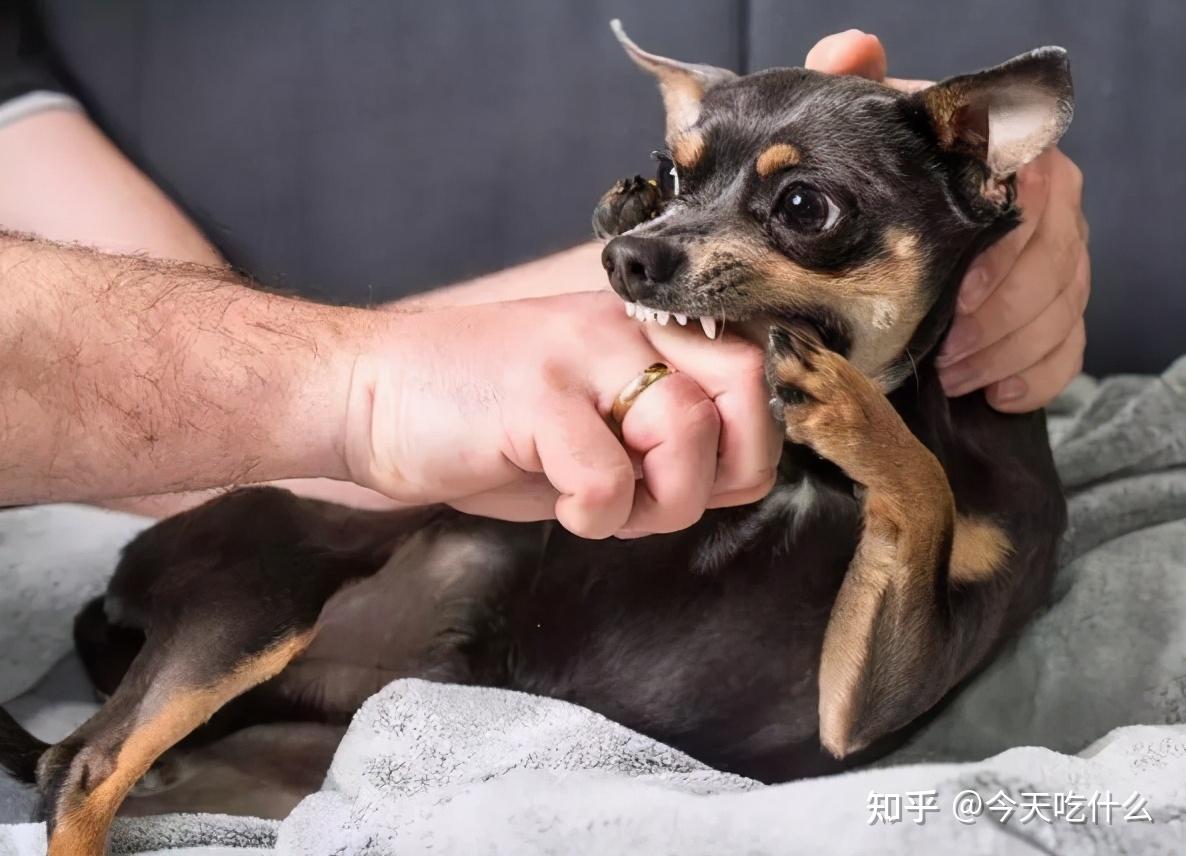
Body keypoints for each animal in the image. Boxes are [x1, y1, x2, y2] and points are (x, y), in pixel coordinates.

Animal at [0, 21, 1072, 853]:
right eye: (673, 174)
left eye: (806, 207)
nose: (631, 252)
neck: (815, 475)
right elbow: (922, 485)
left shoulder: (860, 708)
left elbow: (924, 490)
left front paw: (847, 405)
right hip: (267, 592)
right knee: (84, 764)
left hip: (282, 756)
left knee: (94, 770)